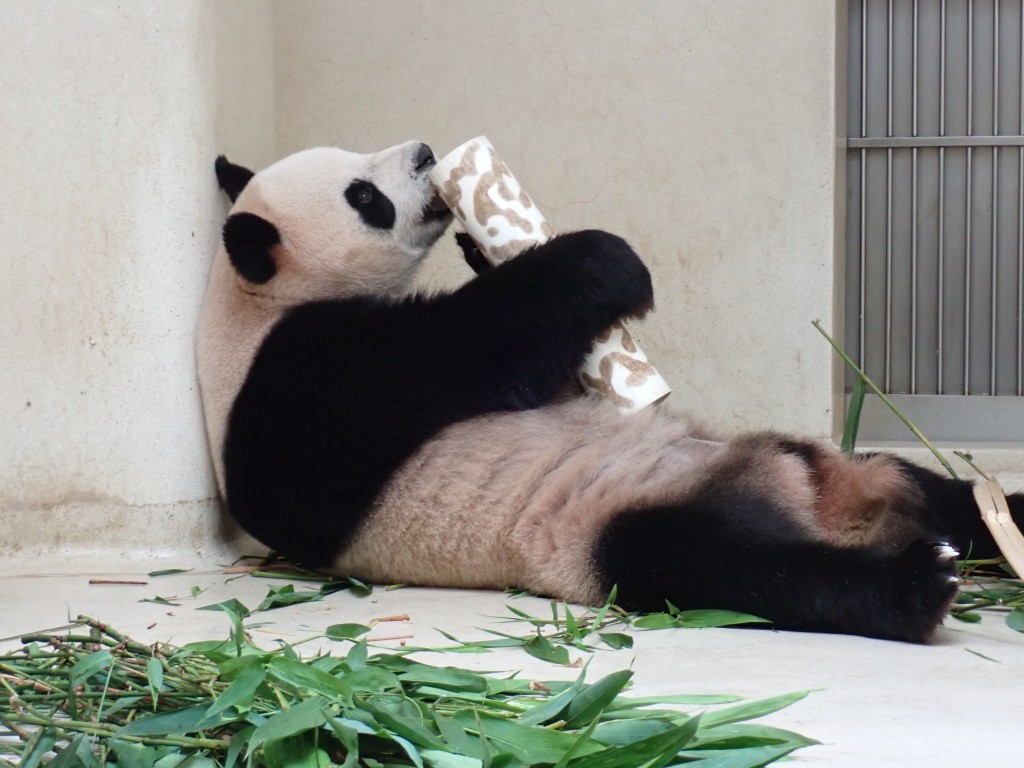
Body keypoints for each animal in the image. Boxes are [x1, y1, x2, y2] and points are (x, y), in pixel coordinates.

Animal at [197, 138, 1024, 643]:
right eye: (363, 194)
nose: (428, 154)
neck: (250, 301)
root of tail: (816, 499)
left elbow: (550, 368)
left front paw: (484, 240)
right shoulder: (295, 383)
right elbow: (458, 353)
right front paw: (601, 259)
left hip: (833, 463)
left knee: (940, 492)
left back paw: (991, 523)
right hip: (611, 525)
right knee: (729, 567)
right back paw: (916, 584)